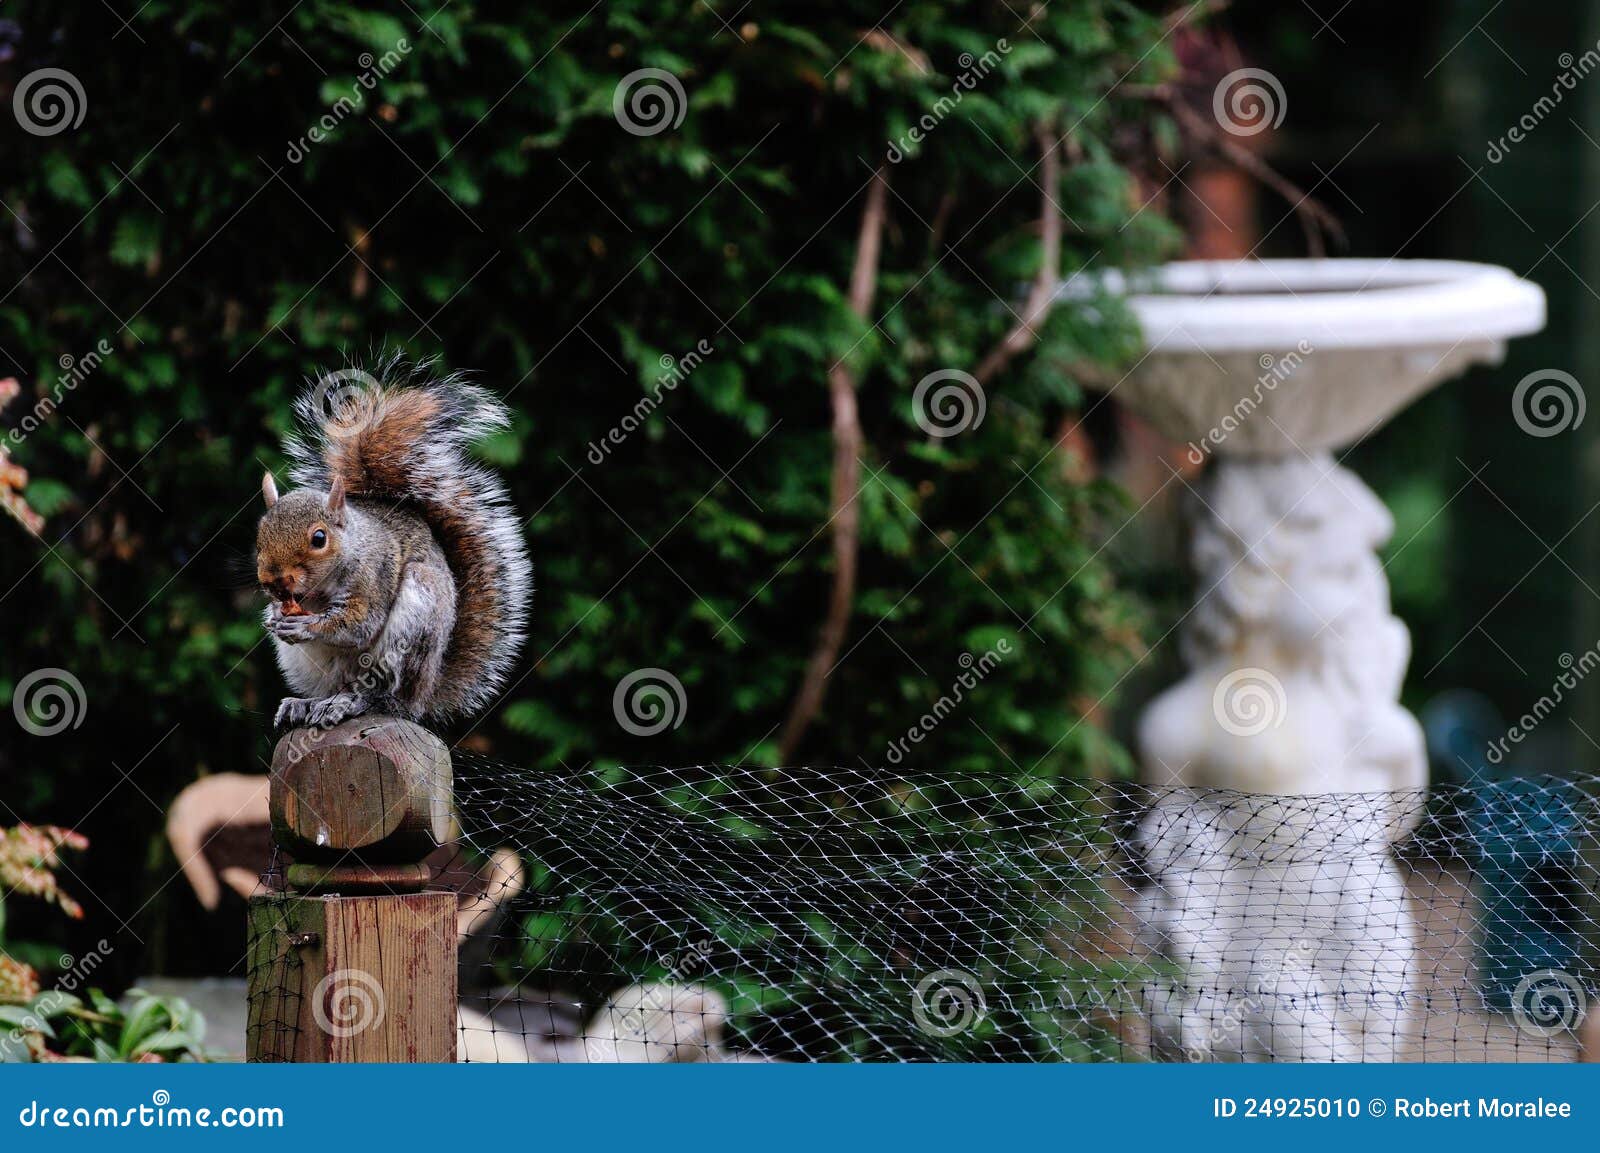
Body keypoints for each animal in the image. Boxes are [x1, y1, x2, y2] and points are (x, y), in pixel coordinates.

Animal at [256, 362, 531, 730]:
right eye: (260, 531)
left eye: (319, 538)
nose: (272, 581)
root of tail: (425, 694)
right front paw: (275, 616)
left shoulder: (373, 576)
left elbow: (358, 625)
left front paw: (306, 625)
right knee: (333, 688)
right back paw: (307, 704)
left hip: (413, 622)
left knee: (385, 697)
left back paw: (353, 703)